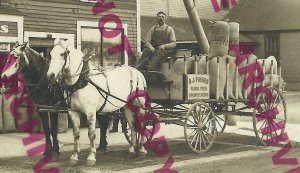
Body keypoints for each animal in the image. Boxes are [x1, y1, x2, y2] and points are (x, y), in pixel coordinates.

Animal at [46, 38, 148, 166]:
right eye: (50, 54)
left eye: (62, 54)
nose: (50, 75)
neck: (79, 82)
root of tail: (136, 70)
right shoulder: (73, 112)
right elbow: (76, 134)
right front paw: (74, 157)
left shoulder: (90, 112)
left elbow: (91, 134)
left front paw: (91, 157)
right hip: (127, 106)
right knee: (133, 125)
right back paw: (132, 150)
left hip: (140, 105)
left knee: (142, 125)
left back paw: (142, 150)